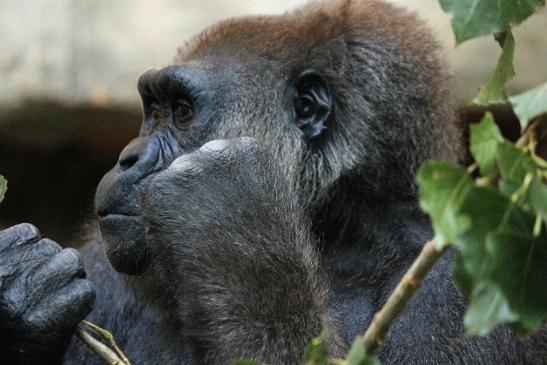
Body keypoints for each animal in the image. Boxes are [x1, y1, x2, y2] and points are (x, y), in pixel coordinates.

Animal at [1, 0, 547, 362]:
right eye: (151, 110)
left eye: (182, 111)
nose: (127, 158)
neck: (345, 238)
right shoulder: (104, 262)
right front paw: (22, 289)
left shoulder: (472, 279)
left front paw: (230, 226)